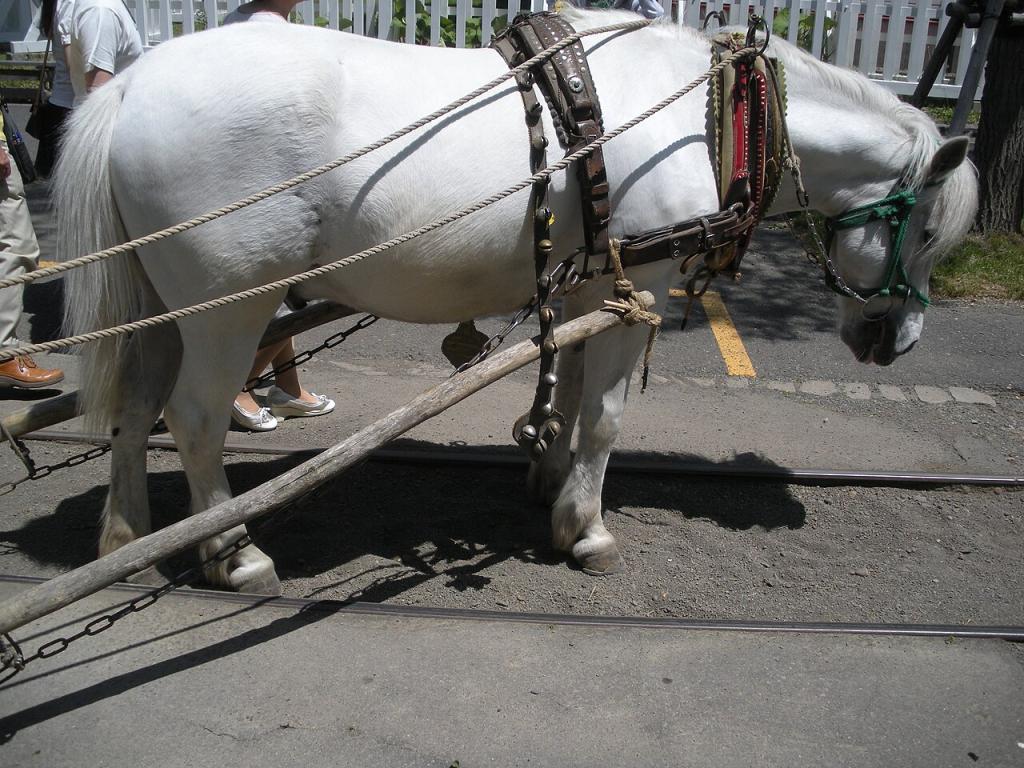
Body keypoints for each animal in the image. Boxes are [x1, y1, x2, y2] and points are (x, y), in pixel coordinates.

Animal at [56, 9, 977, 594]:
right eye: (931, 231)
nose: (899, 340)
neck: (703, 112)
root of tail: (128, 89)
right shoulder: (638, 283)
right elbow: (604, 413)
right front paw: (587, 528)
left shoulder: (592, 280)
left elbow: (566, 395)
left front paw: (549, 475)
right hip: (228, 307)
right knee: (194, 417)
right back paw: (232, 552)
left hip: (160, 309)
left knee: (133, 406)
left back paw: (125, 539)